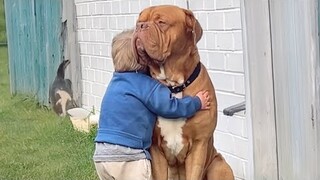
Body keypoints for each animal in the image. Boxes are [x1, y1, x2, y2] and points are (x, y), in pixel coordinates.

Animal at [133, 4, 235, 179]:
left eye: (161, 22)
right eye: (139, 21)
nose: (140, 26)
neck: (173, 86)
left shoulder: (199, 145)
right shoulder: (156, 148)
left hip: (219, 166)